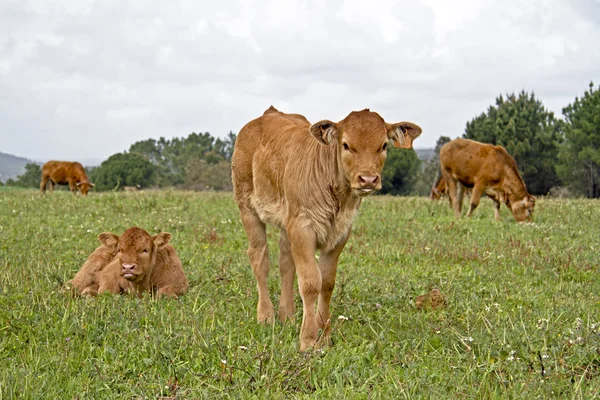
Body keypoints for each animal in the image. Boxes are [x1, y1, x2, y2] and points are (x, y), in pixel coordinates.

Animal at [230, 106, 422, 350]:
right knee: (260, 259)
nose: (368, 179)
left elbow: (327, 283)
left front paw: (325, 335)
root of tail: (269, 114)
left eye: (384, 145)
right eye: (346, 145)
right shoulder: (302, 227)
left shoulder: (340, 233)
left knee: (285, 264)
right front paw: (308, 339)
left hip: (286, 222)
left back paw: (287, 315)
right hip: (247, 209)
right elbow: (311, 282)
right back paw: (266, 315)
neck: (337, 198)